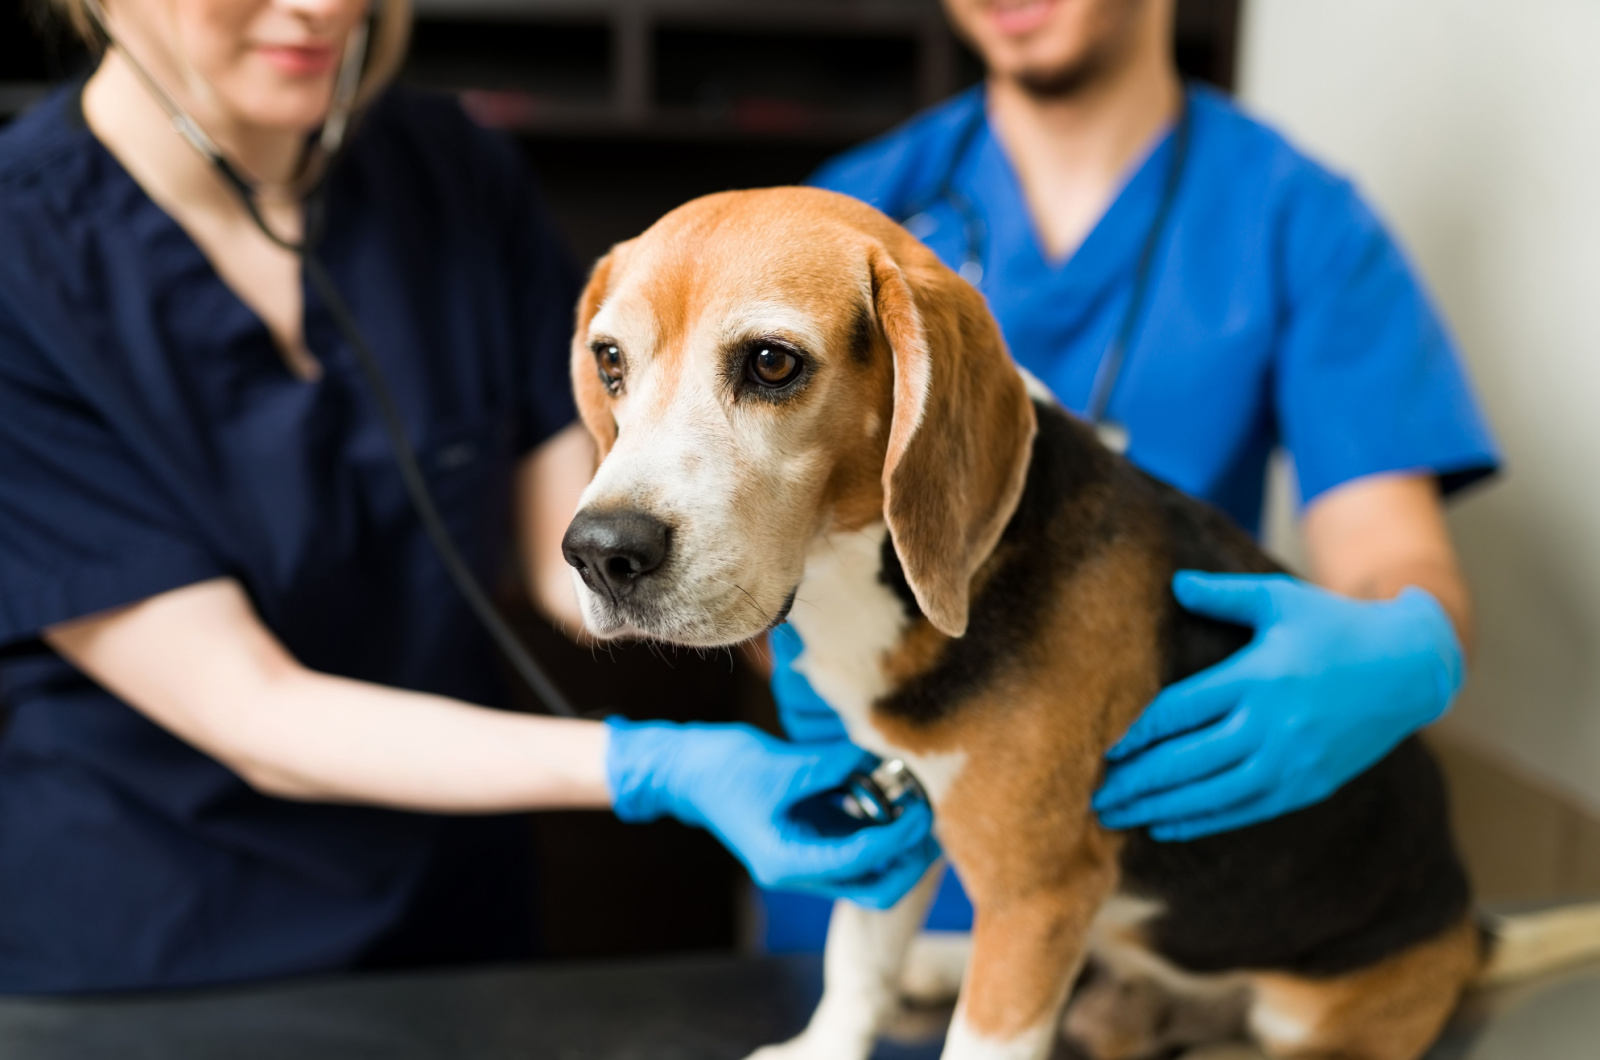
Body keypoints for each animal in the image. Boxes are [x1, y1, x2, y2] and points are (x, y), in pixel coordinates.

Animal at [566, 188, 1484, 1060]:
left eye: (770, 362)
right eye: (609, 361)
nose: (600, 553)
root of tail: (1470, 925)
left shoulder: (1040, 896)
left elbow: (980, 1036)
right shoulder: (892, 809)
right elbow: (856, 964)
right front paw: (823, 1047)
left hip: (1311, 1004)